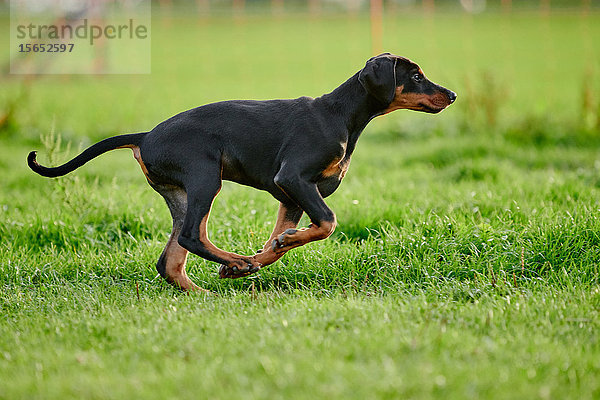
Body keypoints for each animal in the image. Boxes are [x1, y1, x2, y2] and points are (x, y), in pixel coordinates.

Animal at [28, 52, 454, 290]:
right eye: (415, 76)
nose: (451, 95)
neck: (341, 114)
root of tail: (146, 135)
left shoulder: (291, 197)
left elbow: (278, 244)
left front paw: (264, 255)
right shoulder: (293, 179)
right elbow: (328, 223)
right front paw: (253, 260)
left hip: (180, 193)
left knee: (170, 260)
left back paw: (212, 288)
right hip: (204, 178)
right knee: (191, 237)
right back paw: (234, 261)